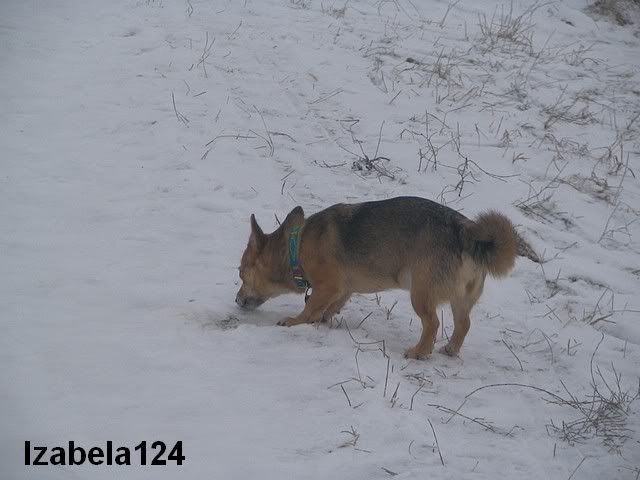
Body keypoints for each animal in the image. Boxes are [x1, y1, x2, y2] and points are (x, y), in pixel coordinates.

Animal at [235, 196, 537, 359]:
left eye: (240, 273)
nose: (237, 300)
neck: (296, 246)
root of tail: (466, 232)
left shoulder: (328, 285)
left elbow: (310, 307)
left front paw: (295, 321)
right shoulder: (342, 290)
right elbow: (328, 308)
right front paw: (322, 320)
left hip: (420, 294)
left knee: (433, 323)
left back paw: (419, 352)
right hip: (461, 300)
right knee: (463, 325)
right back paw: (451, 349)